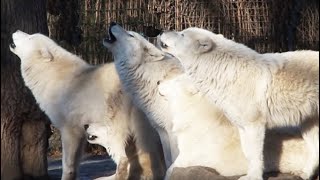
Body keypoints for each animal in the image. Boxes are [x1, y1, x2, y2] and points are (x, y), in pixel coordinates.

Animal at [9, 31, 165, 180]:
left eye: (29, 37)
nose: (16, 30)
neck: (52, 76)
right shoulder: (81, 133)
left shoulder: (69, 130)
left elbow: (67, 165)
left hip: (121, 129)